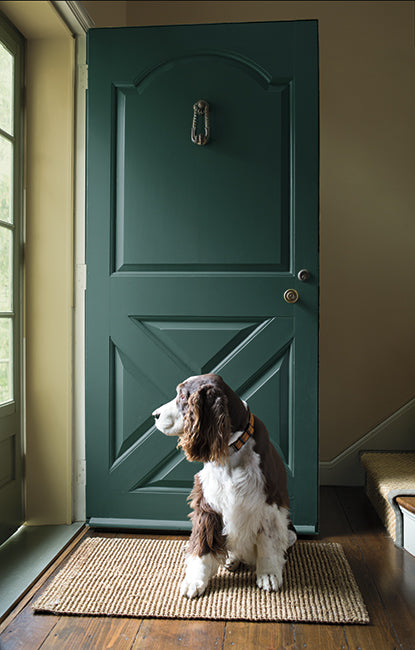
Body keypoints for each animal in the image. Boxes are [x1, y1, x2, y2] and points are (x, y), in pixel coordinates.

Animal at [153, 372, 296, 596]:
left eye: (183, 396)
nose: (155, 415)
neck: (232, 450)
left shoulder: (269, 503)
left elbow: (268, 542)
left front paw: (269, 574)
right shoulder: (208, 501)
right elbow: (202, 544)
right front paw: (195, 580)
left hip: (291, 533)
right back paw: (231, 560)